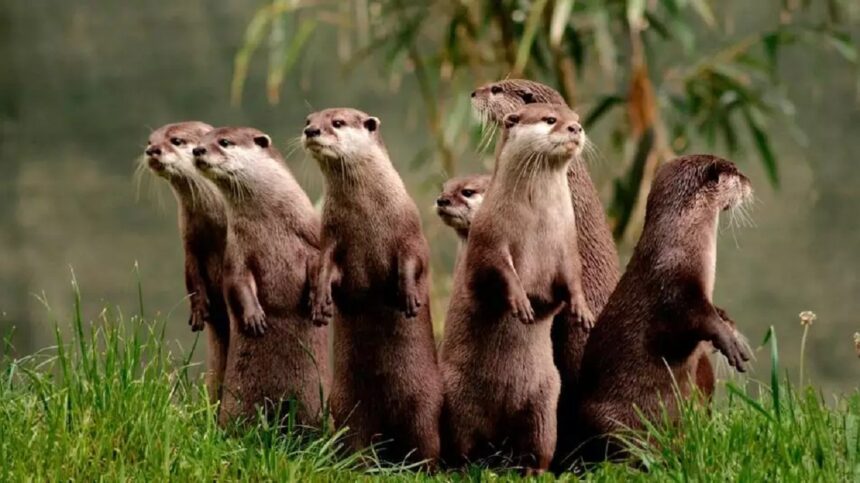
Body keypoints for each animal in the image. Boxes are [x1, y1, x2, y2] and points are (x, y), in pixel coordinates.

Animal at [143, 121, 230, 404]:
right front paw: (198, 310)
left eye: (177, 141)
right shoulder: (190, 243)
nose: (152, 150)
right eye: (150, 140)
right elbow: (191, 276)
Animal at [193, 126, 329, 428]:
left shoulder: (311, 240)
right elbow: (237, 283)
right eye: (200, 141)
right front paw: (254, 316)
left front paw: (316, 304)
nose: (197, 151)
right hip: (236, 400)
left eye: (224, 142)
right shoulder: (237, 253)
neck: (270, 223)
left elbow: (318, 266)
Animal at [302, 108, 442, 465]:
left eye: (337, 122)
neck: (366, 214)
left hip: (425, 404)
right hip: (348, 404)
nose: (311, 131)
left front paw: (408, 297)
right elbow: (324, 269)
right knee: (356, 437)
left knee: (426, 441)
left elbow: (413, 262)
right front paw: (320, 304)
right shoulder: (331, 237)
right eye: (308, 119)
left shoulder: (409, 231)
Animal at [440, 104, 593, 474]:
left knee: (538, 445)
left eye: (575, 118)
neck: (536, 223)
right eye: (550, 120)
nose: (576, 128)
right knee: (463, 443)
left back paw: (533, 470)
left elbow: (571, 280)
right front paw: (521, 302)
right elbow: (499, 273)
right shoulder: (490, 240)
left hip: (543, 404)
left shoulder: (567, 246)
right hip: (457, 398)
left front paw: (581, 310)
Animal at [575, 154, 752, 461]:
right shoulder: (673, 288)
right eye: (736, 172)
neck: (680, 244)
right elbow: (695, 319)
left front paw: (728, 325)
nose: (750, 184)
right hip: (612, 422)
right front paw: (729, 342)